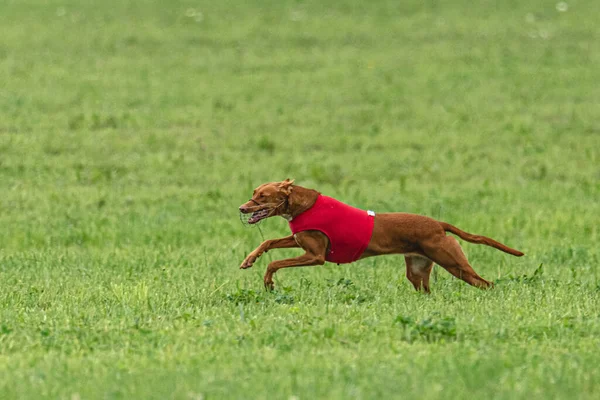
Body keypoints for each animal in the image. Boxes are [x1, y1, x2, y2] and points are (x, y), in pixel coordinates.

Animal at [237, 180, 524, 292]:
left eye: (262, 196)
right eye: (254, 193)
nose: (241, 208)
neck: (303, 205)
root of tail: (438, 224)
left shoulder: (315, 256)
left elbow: (275, 263)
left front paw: (268, 282)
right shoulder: (299, 241)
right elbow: (267, 242)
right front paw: (248, 260)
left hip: (453, 263)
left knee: (486, 283)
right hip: (418, 269)